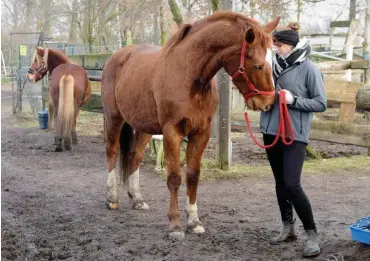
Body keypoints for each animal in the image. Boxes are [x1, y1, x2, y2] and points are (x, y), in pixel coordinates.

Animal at [101, 11, 280, 238]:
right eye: (257, 64)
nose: (268, 103)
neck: (188, 75)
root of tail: (118, 56)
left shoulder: (200, 134)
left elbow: (193, 176)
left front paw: (194, 222)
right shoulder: (172, 133)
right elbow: (174, 178)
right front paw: (175, 225)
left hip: (143, 127)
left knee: (134, 157)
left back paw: (137, 198)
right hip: (114, 117)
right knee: (112, 152)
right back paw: (111, 199)